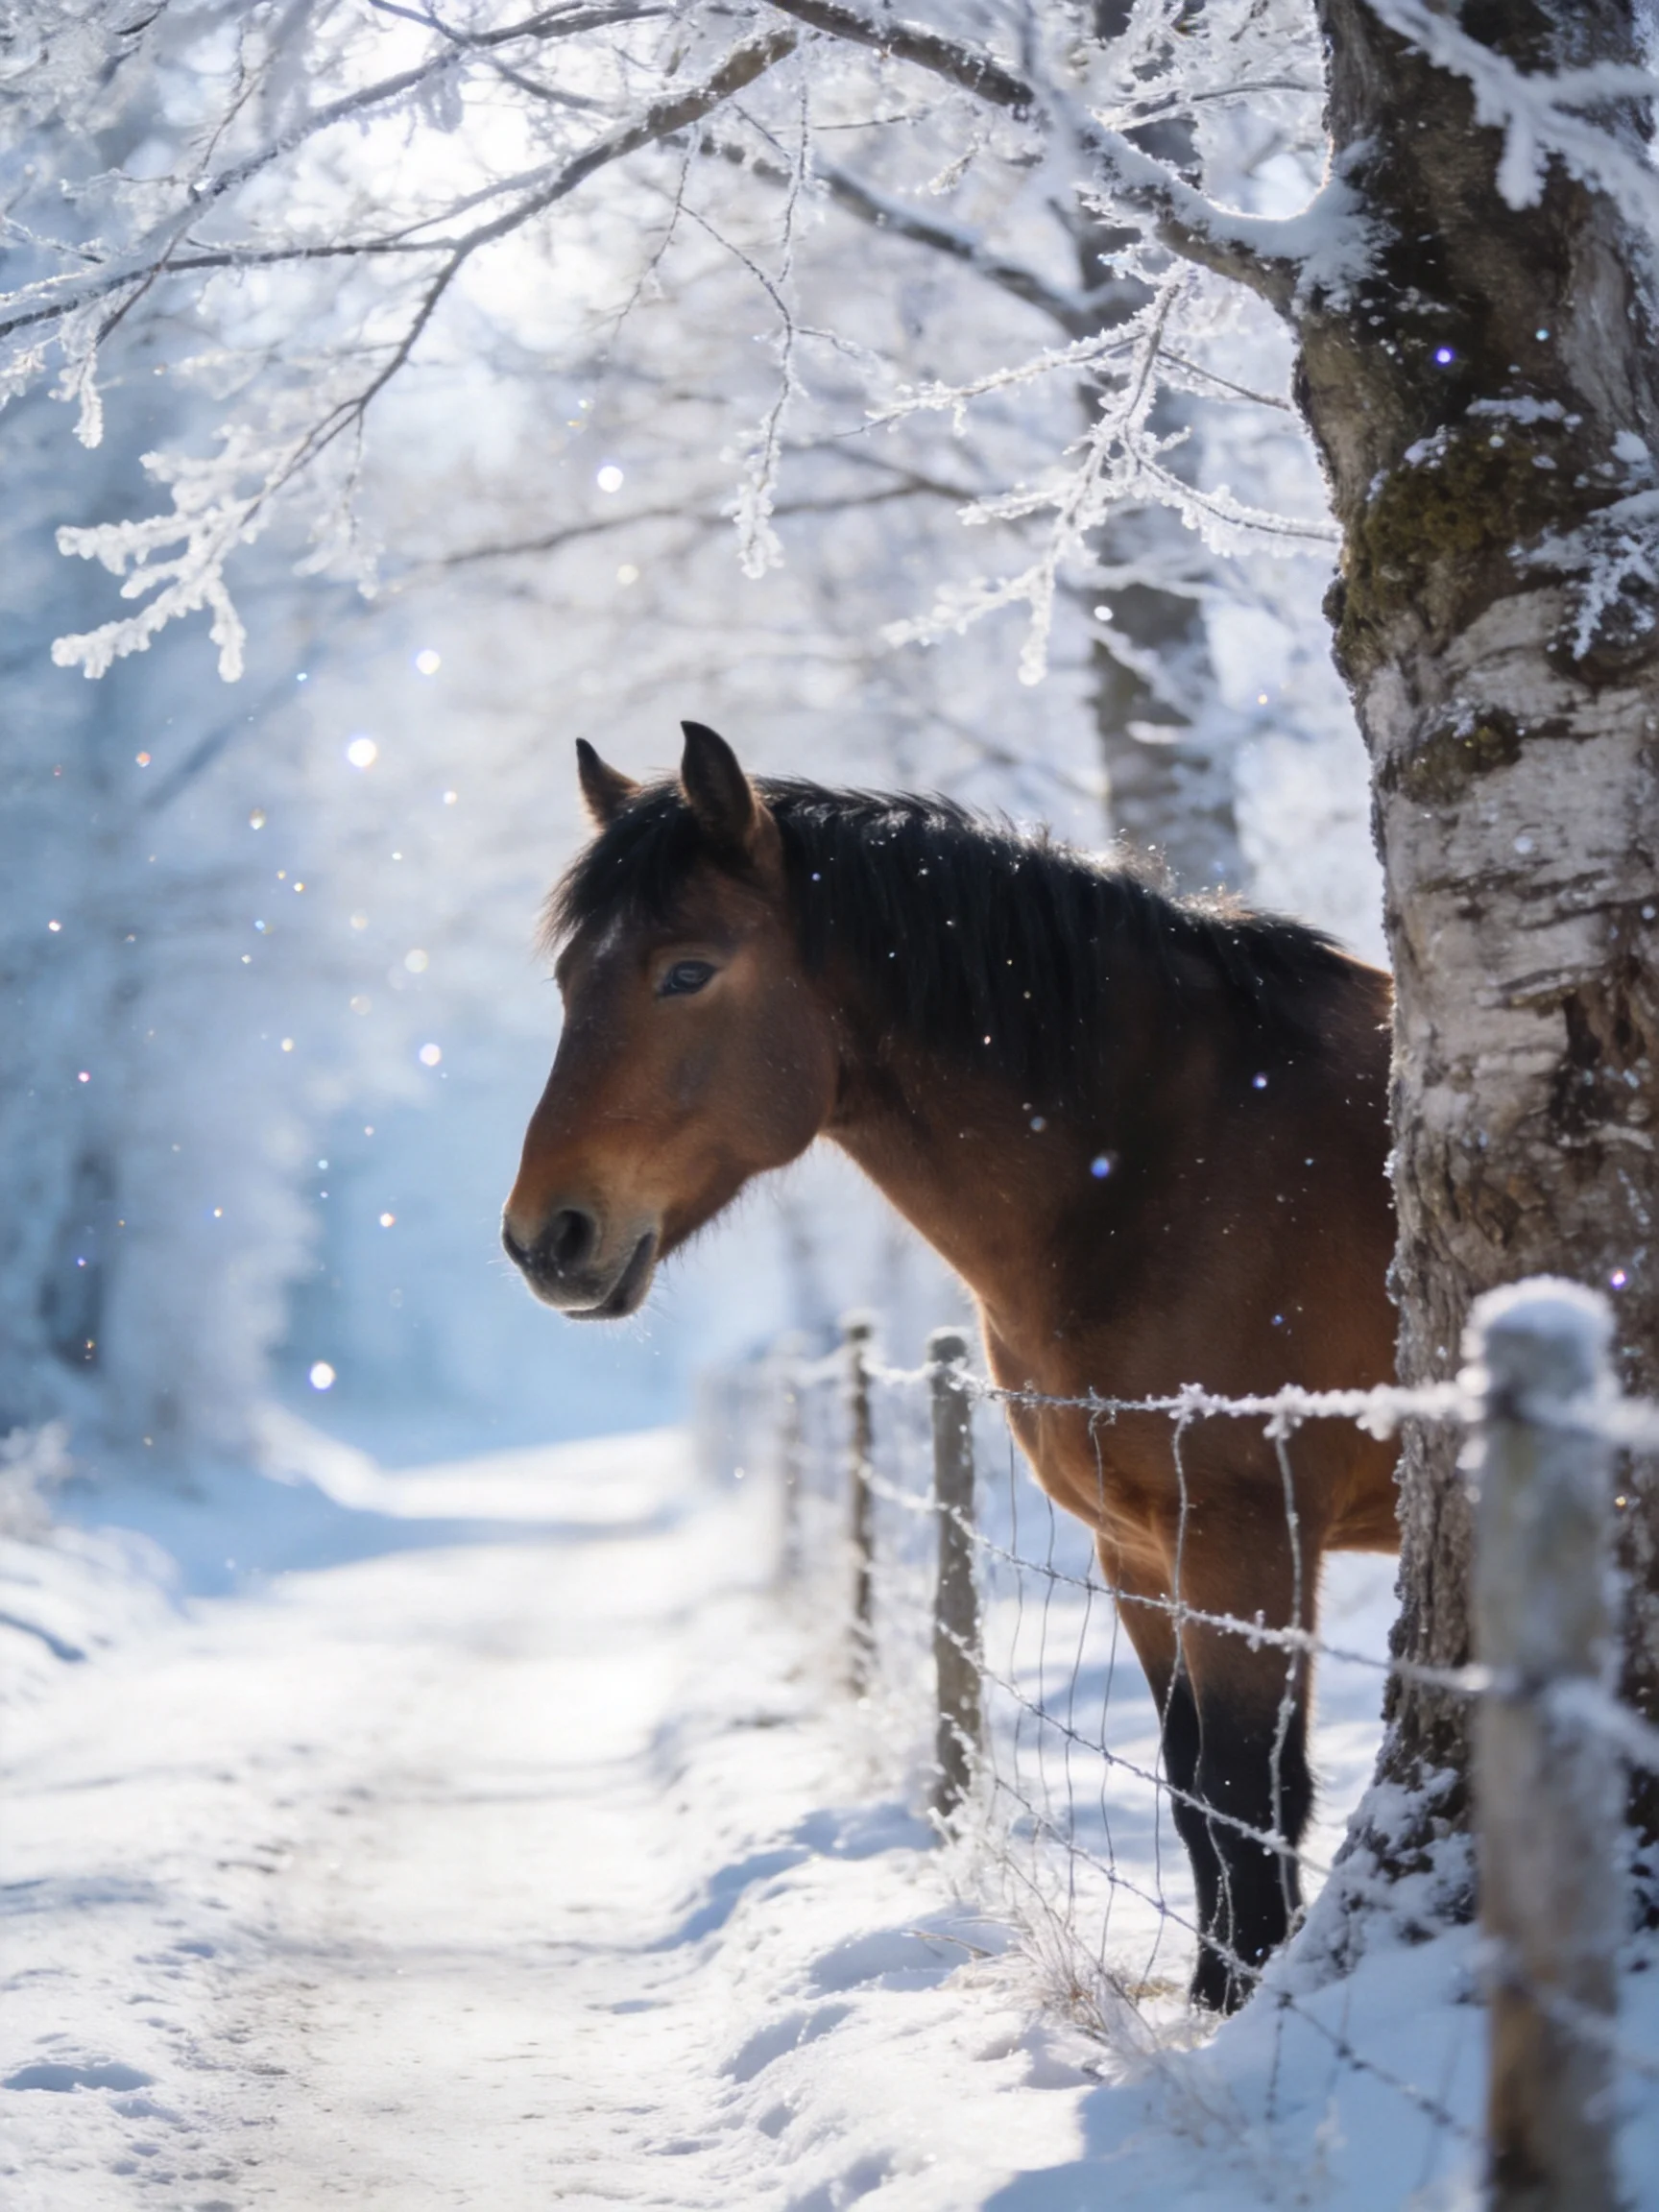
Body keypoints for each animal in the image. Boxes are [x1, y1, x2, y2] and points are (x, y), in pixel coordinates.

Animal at [503, 721, 1397, 2012]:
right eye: (571, 981)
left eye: (686, 972)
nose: (546, 1238)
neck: (1175, 1160)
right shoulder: (1135, 1550)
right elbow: (1192, 1788)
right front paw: (1213, 2001)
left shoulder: (1244, 1537)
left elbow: (1249, 1793)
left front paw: (1245, 2021)